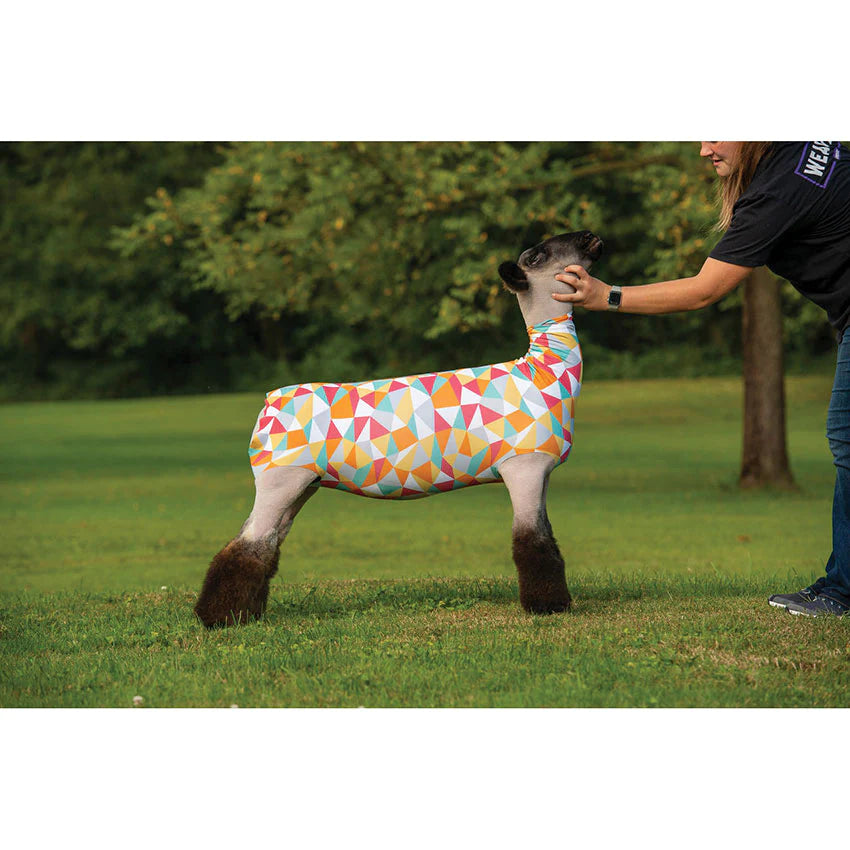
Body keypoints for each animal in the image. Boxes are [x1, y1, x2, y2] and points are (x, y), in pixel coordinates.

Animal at [194, 230, 604, 627]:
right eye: (537, 255)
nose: (589, 236)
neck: (543, 368)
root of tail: (268, 405)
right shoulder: (524, 467)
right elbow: (532, 542)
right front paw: (548, 606)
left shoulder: (540, 472)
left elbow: (547, 536)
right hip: (280, 479)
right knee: (246, 545)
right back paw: (219, 618)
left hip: (301, 484)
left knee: (266, 544)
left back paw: (244, 613)